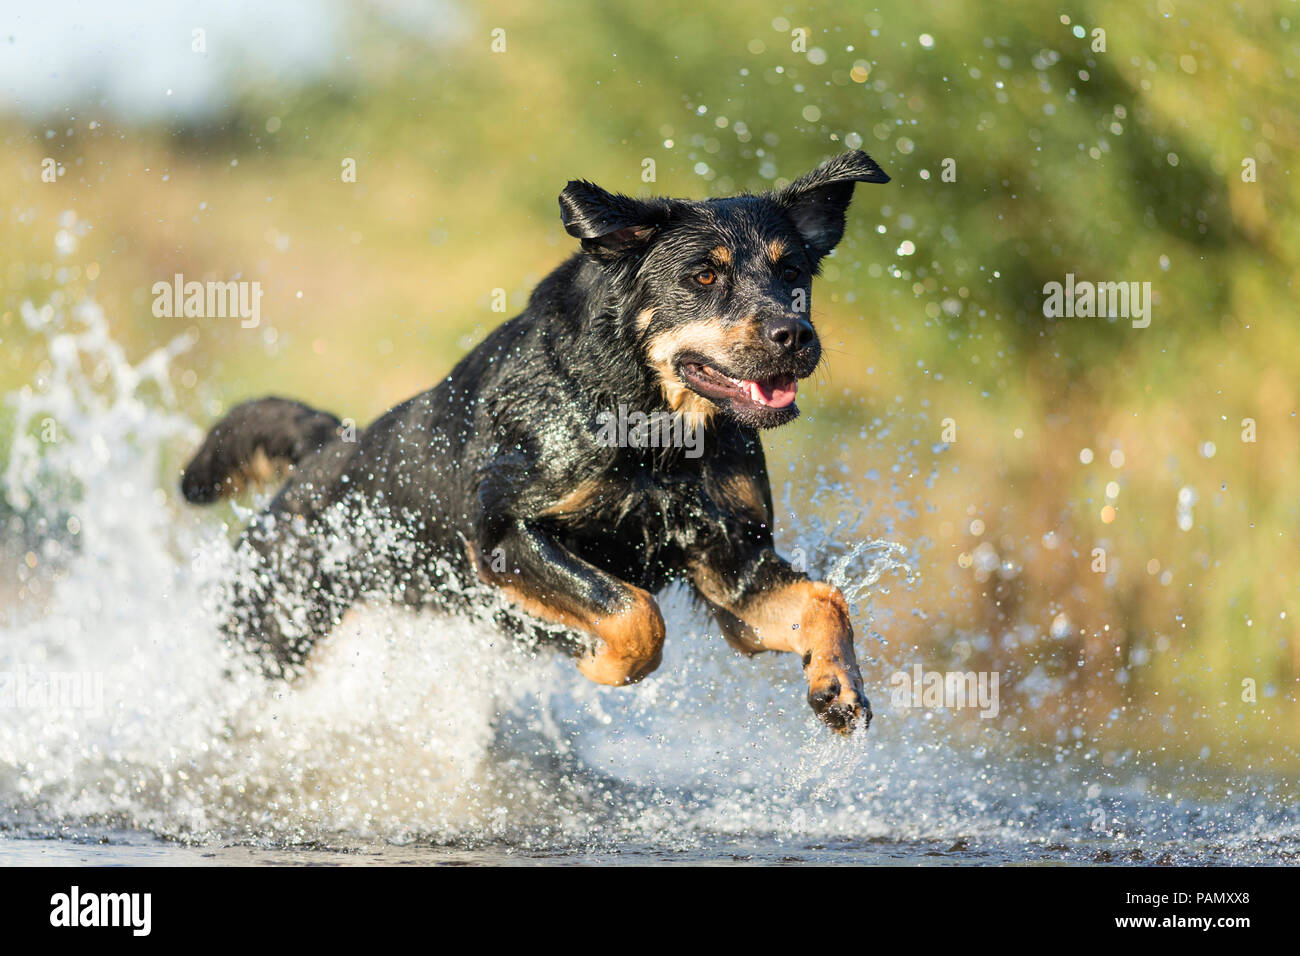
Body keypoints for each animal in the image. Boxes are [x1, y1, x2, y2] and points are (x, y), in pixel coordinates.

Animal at [183, 149, 889, 738]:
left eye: (792, 269)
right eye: (703, 277)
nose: (794, 334)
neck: (649, 428)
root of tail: (318, 457)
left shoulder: (732, 563)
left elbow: (826, 599)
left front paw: (838, 687)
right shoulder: (503, 529)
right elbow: (635, 614)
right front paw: (600, 664)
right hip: (271, 633)